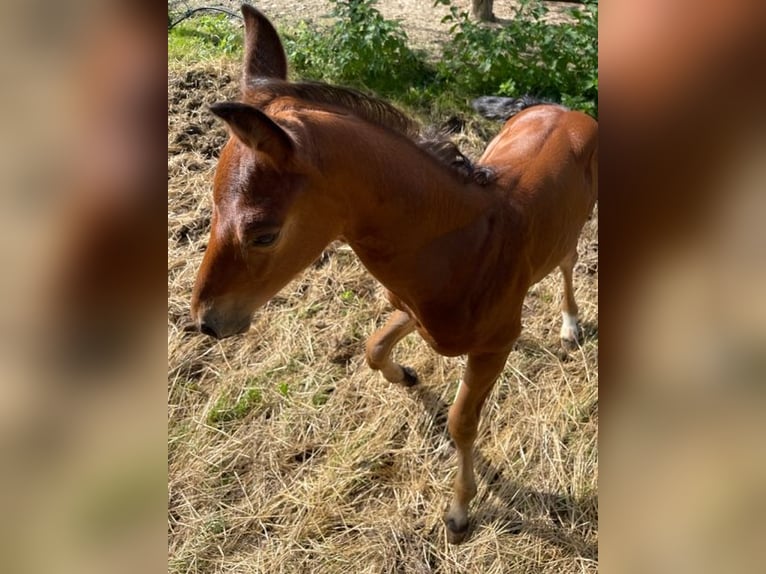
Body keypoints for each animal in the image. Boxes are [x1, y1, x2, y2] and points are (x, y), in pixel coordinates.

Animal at [190, 3, 600, 544]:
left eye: (263, 234)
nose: (206, 320)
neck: (459, 249)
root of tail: (567, 110)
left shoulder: (497, 343)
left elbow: (462, 421)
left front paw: (459, 511)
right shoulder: (410, 309)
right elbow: (373, 349)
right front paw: (405, 375)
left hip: (578, 224)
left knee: (568, 262)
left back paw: (570, 325)